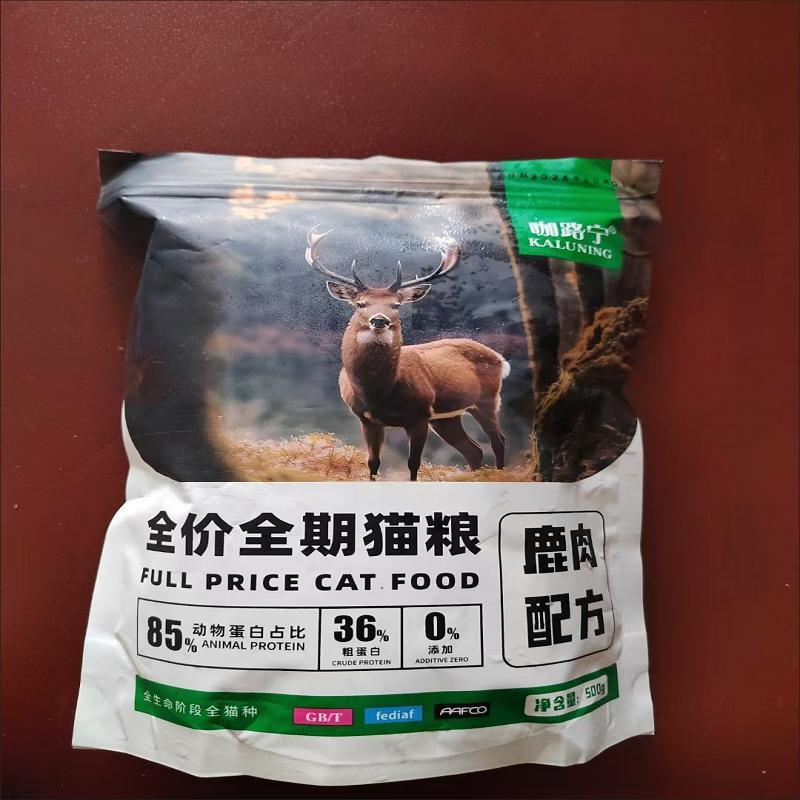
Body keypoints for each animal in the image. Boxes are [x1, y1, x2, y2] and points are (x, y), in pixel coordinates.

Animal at [306, 227, 509, 481]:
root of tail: (500, 358)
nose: (379, 320)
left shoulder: (419, 415)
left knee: (498, 440)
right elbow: (373, 462)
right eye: (361, 304)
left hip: (487, 399)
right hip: (447, 417)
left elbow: (413, 463)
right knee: (474, 450)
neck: (381, 392)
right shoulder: (367, 419)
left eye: (396, 305)